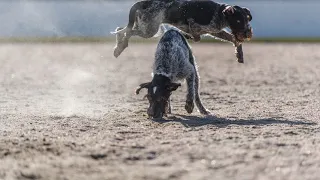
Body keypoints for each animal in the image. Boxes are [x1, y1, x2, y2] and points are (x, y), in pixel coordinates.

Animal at [112, 0, 252, 63]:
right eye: (238, 21)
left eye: (247, 20)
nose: (247, 34)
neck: (218, 13)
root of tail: (143, 2)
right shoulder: (196, 25)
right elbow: (196, 37)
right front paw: (187, 35)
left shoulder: (215, 31)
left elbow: (234, 40)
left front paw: (239, 54)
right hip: (149, 30)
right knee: (126, 32)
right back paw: (120, 47)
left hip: (145, 27)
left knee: (120, 30)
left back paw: (118, 47)